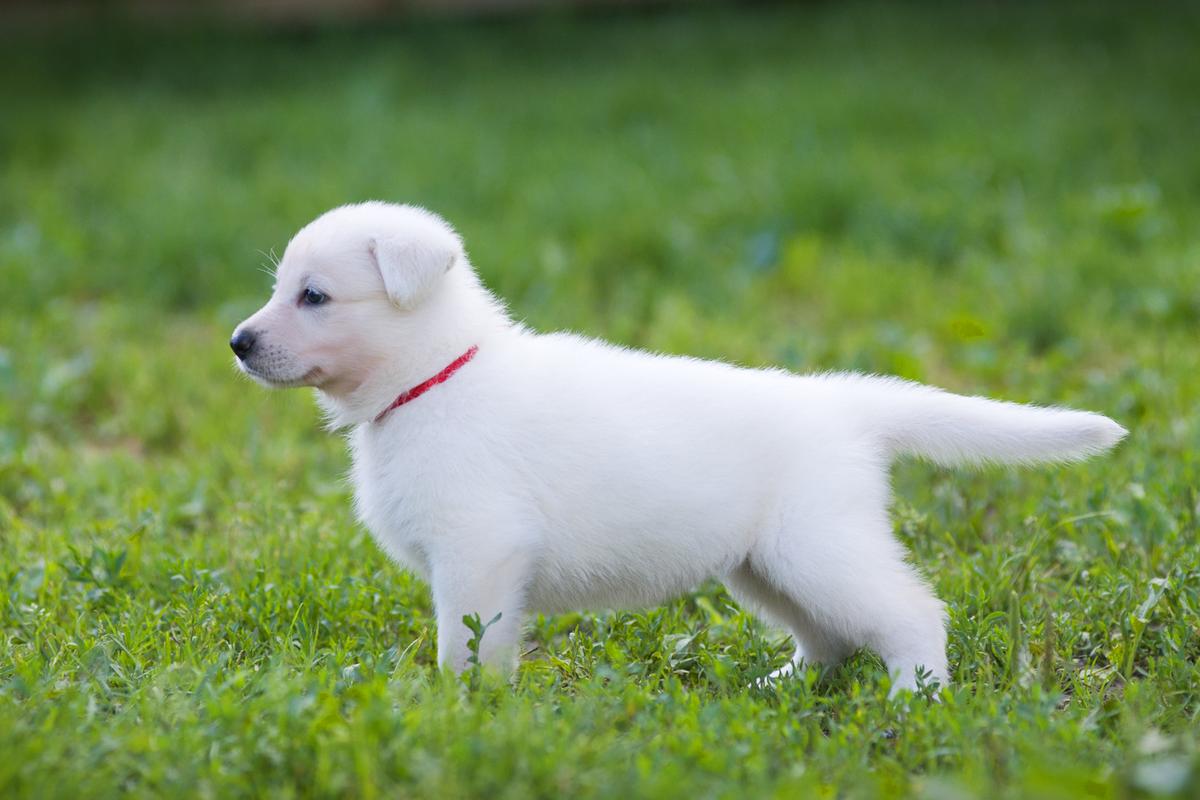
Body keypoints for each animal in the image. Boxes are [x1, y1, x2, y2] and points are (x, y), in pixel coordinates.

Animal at [231, 201, 1123, 695]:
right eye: (281, 288)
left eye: (315, 296)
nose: (237, 343)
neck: (437, 377)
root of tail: (842, 403)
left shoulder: (479, 553)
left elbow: (468, 647)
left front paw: (459, 712)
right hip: (764, 568)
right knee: (828, 639)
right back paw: (778, 688)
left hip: (818, 547)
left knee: (910, 613)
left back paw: (917, 697)